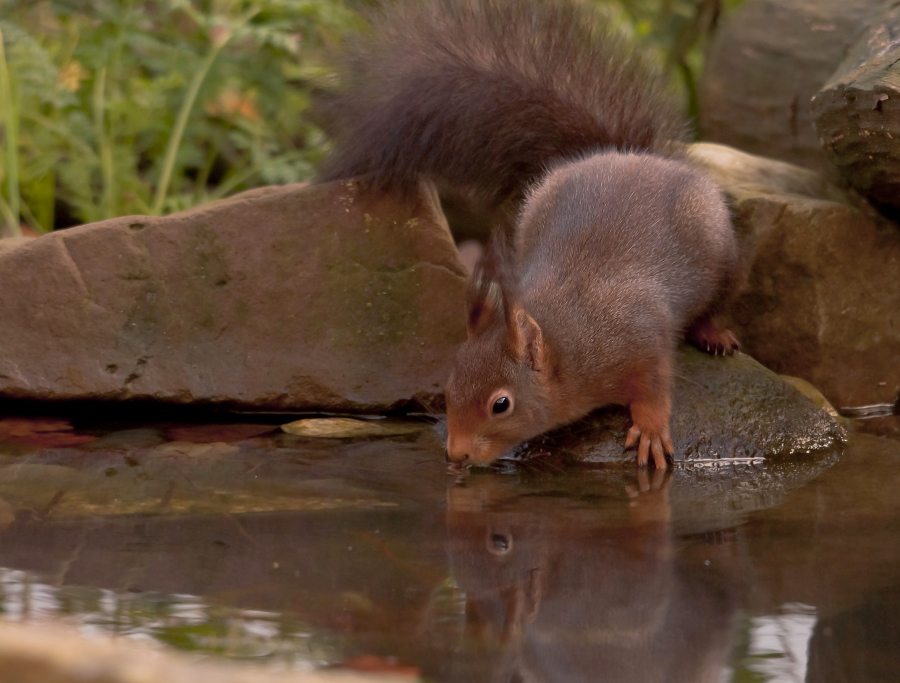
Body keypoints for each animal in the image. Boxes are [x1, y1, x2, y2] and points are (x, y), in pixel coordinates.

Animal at [316, 0, 740, 470]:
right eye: (449, 388)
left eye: (501, 404)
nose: (456, 455)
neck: (568, 344)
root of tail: (627, 154)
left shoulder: (641, 337)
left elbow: (654, 384)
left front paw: (649, 427)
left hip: (722, 256)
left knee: (713, 306)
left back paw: (714, 334)